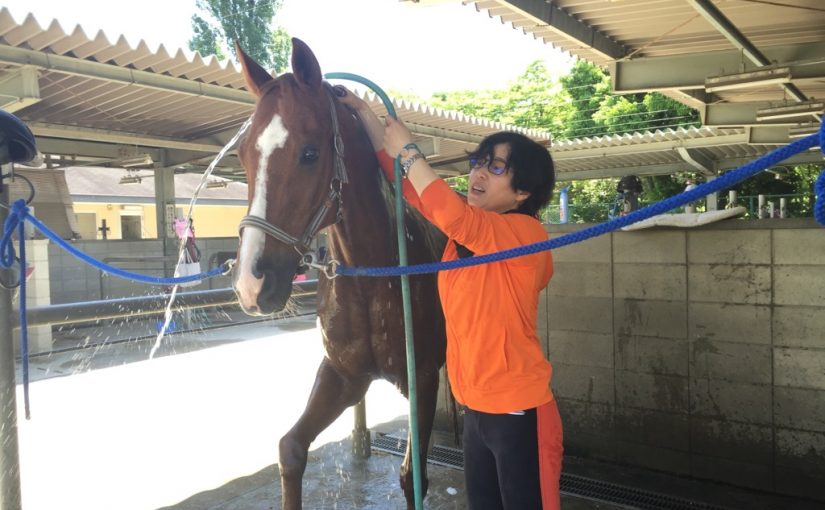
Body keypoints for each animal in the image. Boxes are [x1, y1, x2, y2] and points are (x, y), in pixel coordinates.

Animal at [231, 38, 447, 509]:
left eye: (310, 153)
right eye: (243, 154)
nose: (251, 283)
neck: (374, 275)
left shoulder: (422, 377)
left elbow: (412, 476)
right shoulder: (344, 376)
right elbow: (290, 449)